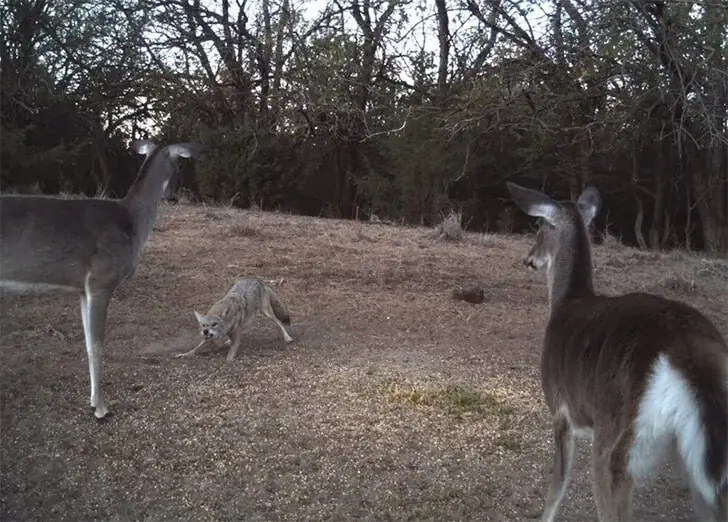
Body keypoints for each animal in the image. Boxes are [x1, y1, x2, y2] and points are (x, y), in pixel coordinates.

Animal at [0, 140, 202, 421]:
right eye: (179, 167)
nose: (178, 195)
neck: (133, 225)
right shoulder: (101, 280)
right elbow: (97, 344)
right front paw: (101, 407)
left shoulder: (83, 289)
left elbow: (87, 342)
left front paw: (94, 400)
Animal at [505, 182, 728, 522]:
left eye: (540, 227)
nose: (529, 259)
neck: (566, 303)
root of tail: (686, 349)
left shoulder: (560, 408)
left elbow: (556, 488)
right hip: (697, 460)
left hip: (616, 440)